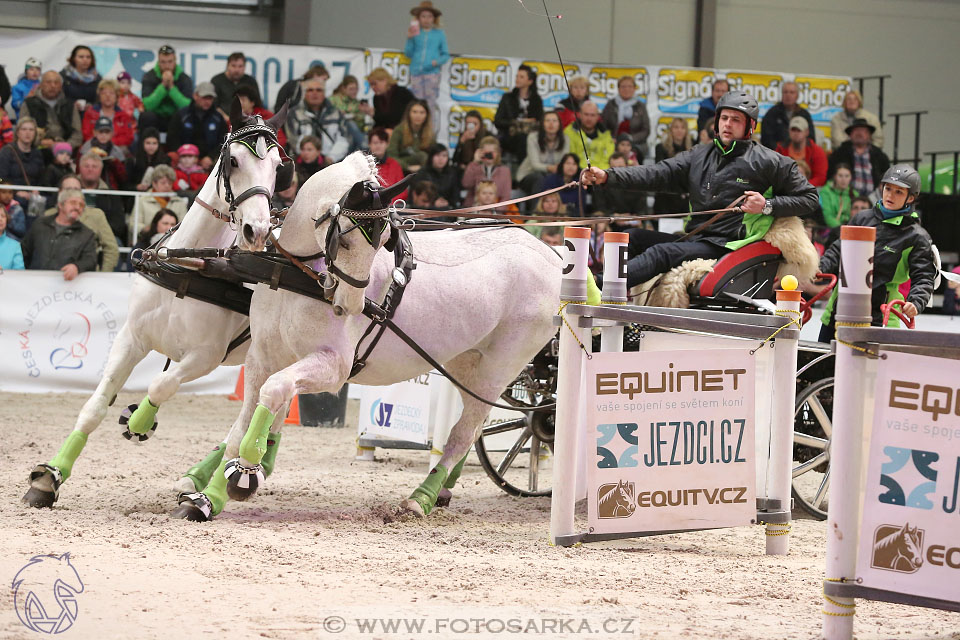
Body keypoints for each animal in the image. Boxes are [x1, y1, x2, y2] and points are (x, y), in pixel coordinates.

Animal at [24, 101, 290, 510]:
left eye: (278, 166)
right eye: (233, 160)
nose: (257, 231)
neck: (191, 265)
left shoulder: (204, 357)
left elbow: (161, 384)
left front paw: (139, 421)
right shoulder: (132, 338)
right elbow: (95, 406)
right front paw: (49, 477)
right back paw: (203, 474)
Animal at [174, 152, 564, 524]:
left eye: (382, 241)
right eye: (345, 240)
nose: (351, 305)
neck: (296, 273)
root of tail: (552, 256)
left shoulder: (333, 366)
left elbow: (273, 393)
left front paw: (245, 471)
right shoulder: (262, 357)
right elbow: (242, 424)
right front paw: (207, 496)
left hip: (497, 370)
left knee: (464, 433)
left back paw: (421, 498)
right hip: (465, 362)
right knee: (474, 426)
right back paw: (443, 491)